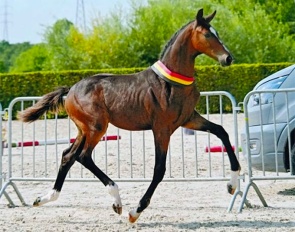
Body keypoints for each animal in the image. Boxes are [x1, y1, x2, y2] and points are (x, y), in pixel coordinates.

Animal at [17, 9, 240, 223]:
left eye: (217, 33)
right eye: (208, 34)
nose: (228, 58)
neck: (172, 83)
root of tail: (70, 90)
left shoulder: (189, 119)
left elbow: (222, 131)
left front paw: (233, 184)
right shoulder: (162, 128)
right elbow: (159, 169)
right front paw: (136, 211)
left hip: (84, 129)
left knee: (68, 155)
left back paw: (45, 198)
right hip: (97, 127)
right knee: (83, 156)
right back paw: (117, 200)